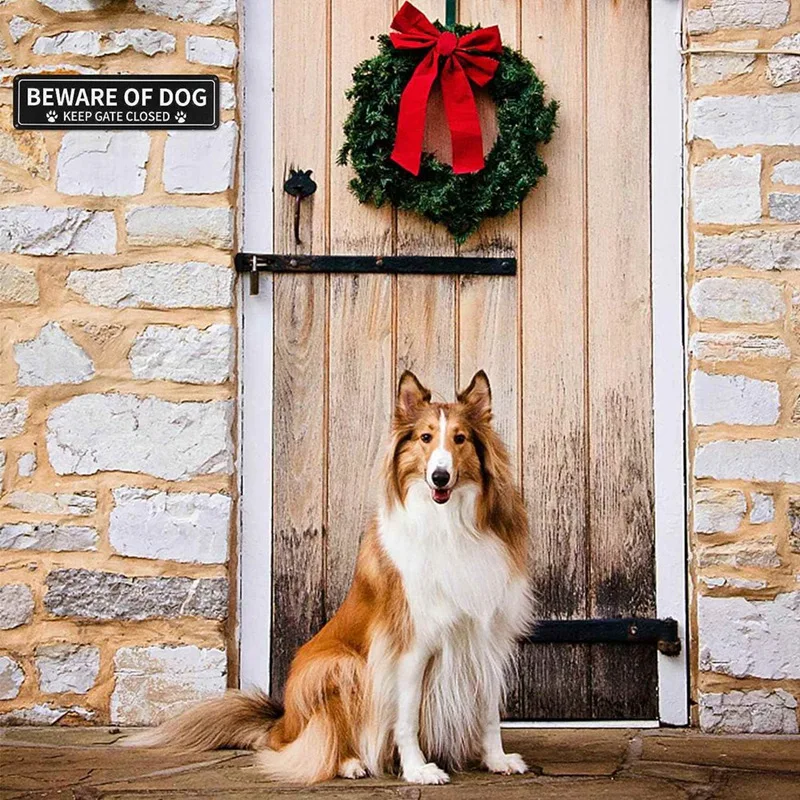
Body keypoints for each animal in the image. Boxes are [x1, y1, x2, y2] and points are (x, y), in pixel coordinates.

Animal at [126, 372, 532, 784]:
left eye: (460, 438)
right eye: (425, 437)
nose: (440, 476)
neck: (449, 524)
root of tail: (280, 723)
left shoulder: (485, 635)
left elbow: (489, 713)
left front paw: (497, 759)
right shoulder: (410, 642)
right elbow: (406, 717)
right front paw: (418, 769)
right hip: (339, 665)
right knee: (312, 741)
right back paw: (351, 763)